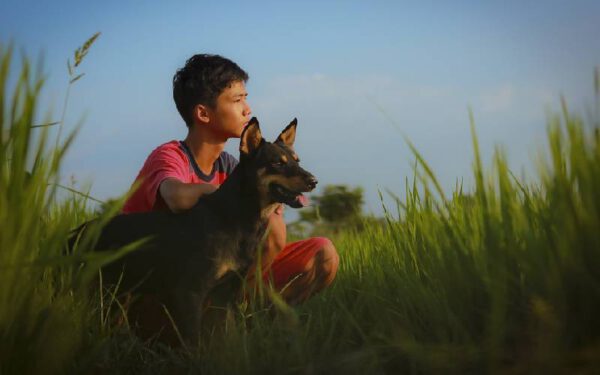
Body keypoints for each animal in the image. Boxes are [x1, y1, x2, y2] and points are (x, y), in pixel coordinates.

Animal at [69, 117, 316, 344]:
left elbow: (227, 336)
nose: (314, 181)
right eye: (278, 163)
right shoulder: (190, 294)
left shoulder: (225, 294)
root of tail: (77, 232)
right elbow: (194, 344)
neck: (235, 214)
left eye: (297, 161)